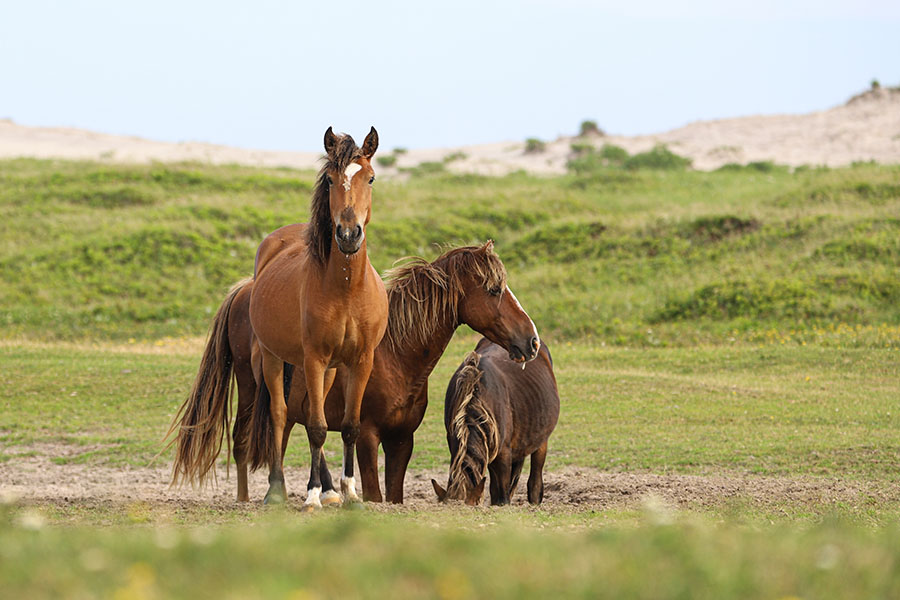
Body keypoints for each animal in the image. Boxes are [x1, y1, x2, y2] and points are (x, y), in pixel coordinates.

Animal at [168, 240, 541, 504]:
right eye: (494, 289)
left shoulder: (401, 440)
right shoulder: (368, 437)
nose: (532, 340)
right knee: (244, 443)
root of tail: (246, 289)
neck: (395, 353)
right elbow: (374, 492)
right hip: (248, 390)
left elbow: (393, 494)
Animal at [247, 126, 386, 510]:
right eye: (330, 180)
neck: (346, 290)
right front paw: (310, 496)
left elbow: (349, 425)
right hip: (274, 358)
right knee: (281, 415)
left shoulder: (360, 361)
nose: (349, 235)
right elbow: (317, 427)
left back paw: (331, 490)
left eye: (370, 177)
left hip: (329, 370)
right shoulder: (313, 359)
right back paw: (277, 490)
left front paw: (350, 492)